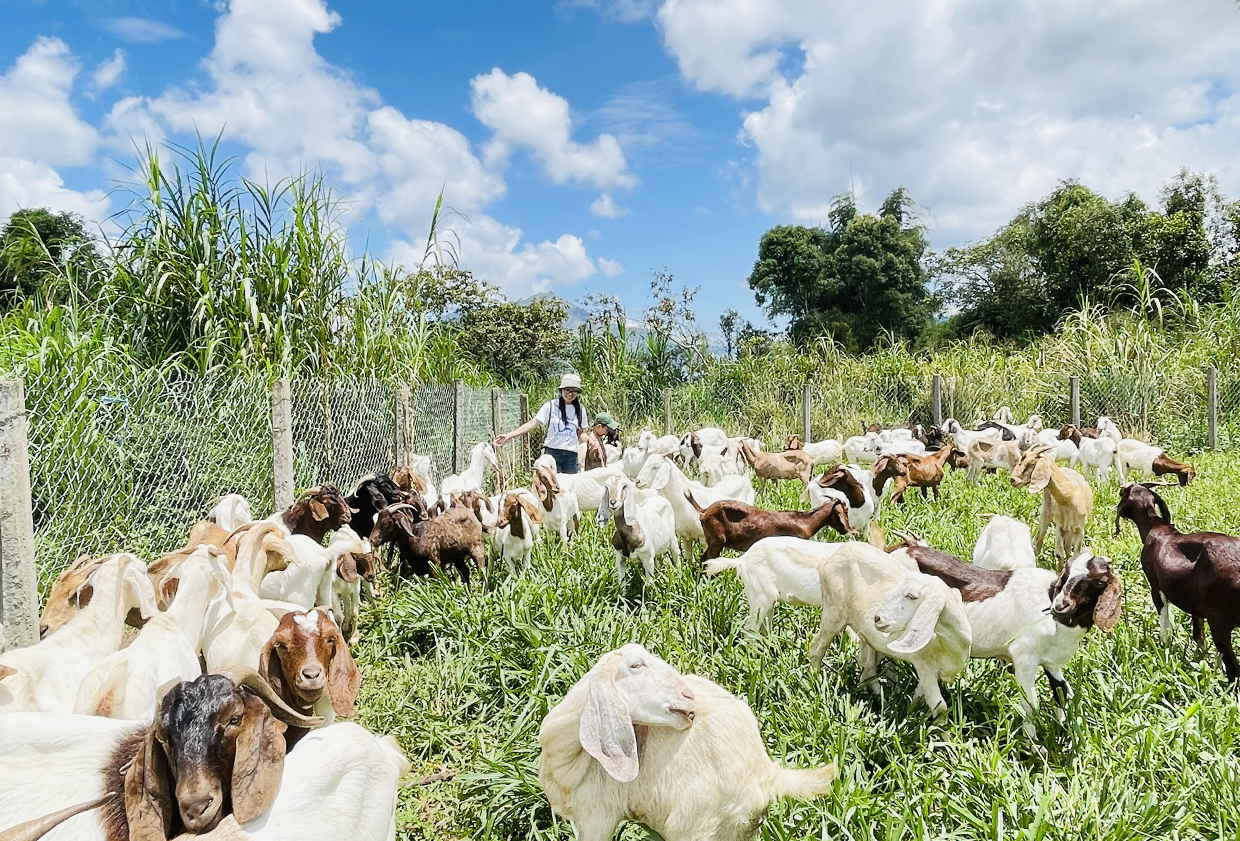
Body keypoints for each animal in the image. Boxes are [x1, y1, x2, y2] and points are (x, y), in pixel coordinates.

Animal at [684, 491, 858, 563]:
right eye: (845, 510)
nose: (849, 529)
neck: (803, 521)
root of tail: (704, 511)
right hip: (718, 540)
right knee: (706, 559)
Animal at [1111, 483, 1240, 679]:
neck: (1156, 526)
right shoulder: (1196, 603)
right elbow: (1199, 633)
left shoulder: (1156, 587)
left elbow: (1164, 621)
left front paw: (1163, 648)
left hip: (1220, 622)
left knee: (1233, 667)